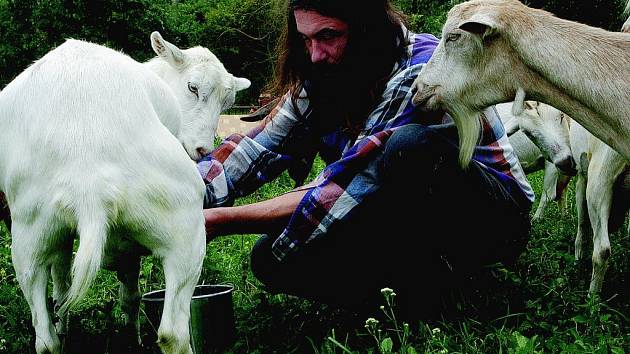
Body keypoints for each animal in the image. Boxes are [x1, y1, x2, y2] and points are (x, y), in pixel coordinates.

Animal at [0, 31, 252, 352]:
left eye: (227, 102)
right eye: (192, 87)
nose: (202, 150)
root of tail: (88, 183)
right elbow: (127, 296)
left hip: (30, 236)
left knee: (45, 340)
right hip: (184, 224)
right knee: (172, 333)